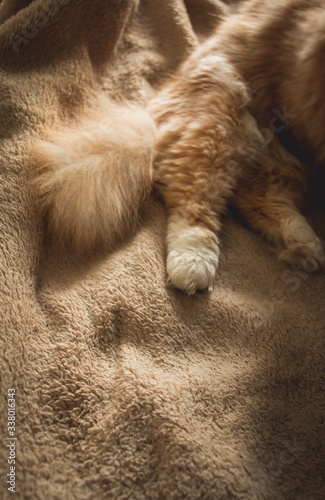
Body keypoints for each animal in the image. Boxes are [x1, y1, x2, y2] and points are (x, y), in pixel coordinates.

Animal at [33, 0, 324, 292]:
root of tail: (152, 117)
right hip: (220, 113)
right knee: (196, 202)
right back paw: (193, 267)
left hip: (278, 162)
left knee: (255, 198)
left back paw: (304, 245)